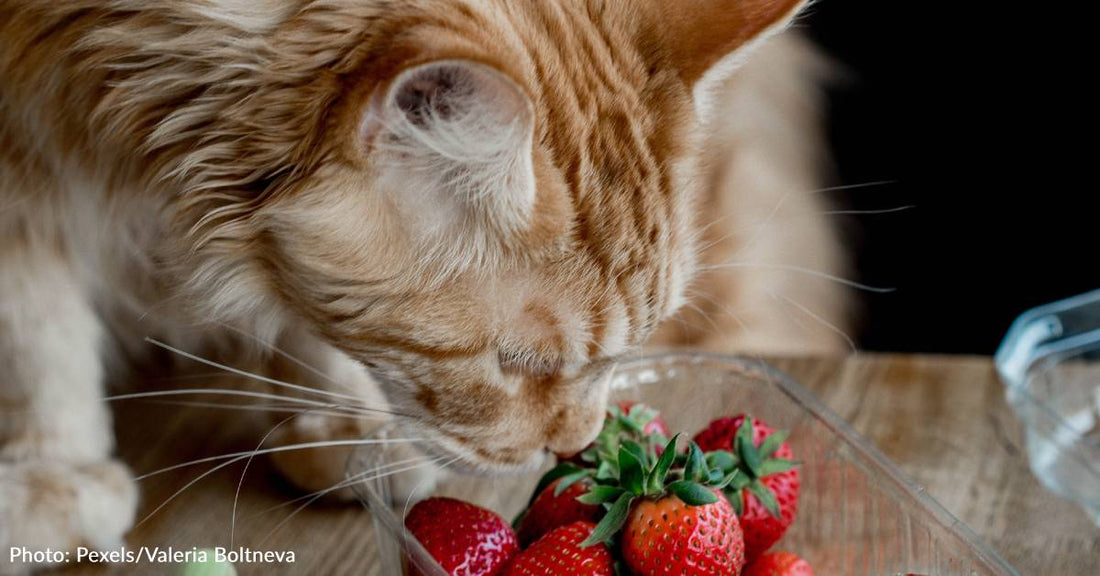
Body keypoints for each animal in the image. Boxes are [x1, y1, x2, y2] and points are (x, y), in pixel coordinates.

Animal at [0, 0, 844, 567]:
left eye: (629, 348)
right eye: (516, 364)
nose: (580, 444)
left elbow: (297, 304)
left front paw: (345, 421)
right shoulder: (19, 175)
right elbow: (39, 339)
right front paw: (52, 473)